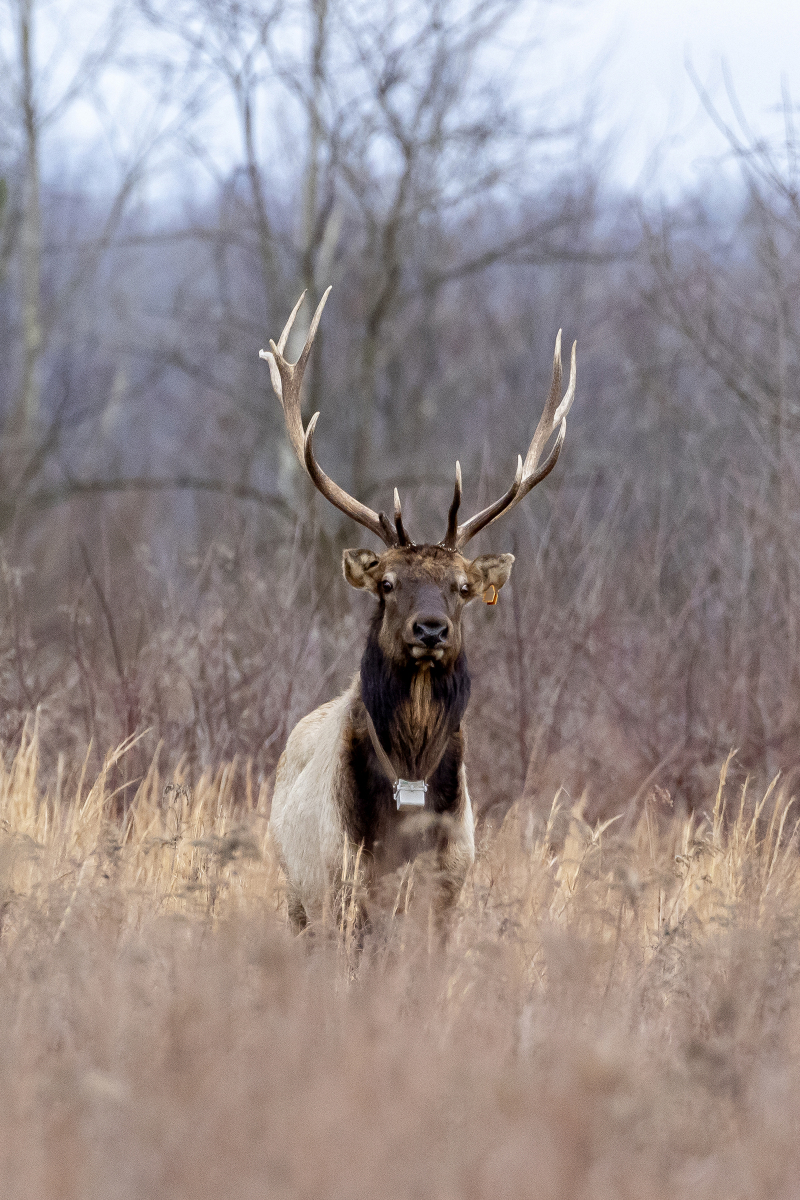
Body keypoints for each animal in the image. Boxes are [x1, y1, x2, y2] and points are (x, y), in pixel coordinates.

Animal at [261, 292, 575, 936]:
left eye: (462, 587)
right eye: (387, 582)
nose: (430, 629)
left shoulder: (449, 888)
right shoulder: (343, 885)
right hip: (298, 893)